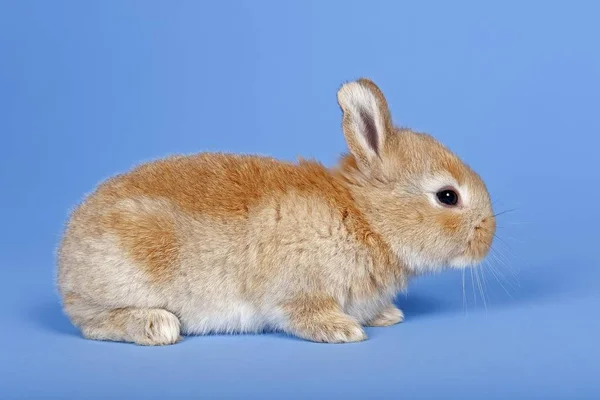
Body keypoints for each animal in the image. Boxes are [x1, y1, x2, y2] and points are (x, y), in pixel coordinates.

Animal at [57, 79, 496, 346]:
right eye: (447, 196)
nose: (488, 237)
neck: (367, 217)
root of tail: (65, 262)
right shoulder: (299, 290)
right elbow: (305, 313)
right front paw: (344, 330)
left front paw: (386, 315)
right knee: (92, 322)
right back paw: (157, 326)